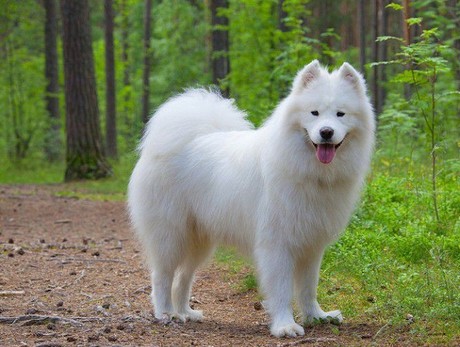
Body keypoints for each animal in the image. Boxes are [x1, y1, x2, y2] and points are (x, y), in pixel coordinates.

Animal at [127, 61, 376, 338]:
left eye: (340, 114)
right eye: (314, 113)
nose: (326, 132)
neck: (308, 170)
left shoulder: (311, 245)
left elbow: (308, 287)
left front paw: (317, 317)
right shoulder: (277, 244)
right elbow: (282, 290)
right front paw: (285, 325)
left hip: (199, 241)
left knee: (183, 278)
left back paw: (185, 312)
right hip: (170, 235)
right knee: (162, 276)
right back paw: (165, 313)